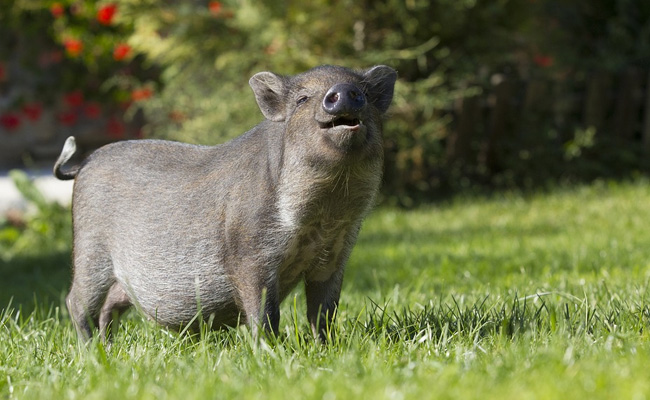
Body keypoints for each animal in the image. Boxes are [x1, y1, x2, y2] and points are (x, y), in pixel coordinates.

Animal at [54, 65, 397, 342]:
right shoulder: (250, 255)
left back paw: (108, 348)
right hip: (90, 250)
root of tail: (83, 164)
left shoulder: (334, 256)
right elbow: (264, 313)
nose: (344, 92)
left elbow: (323, 312)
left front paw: (325, 348)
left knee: (109, 307)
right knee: (76, 302)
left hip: (119, 278)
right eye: (302, 99)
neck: (324, 215)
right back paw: (91, 351)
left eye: (365, 92)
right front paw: (270, 352)